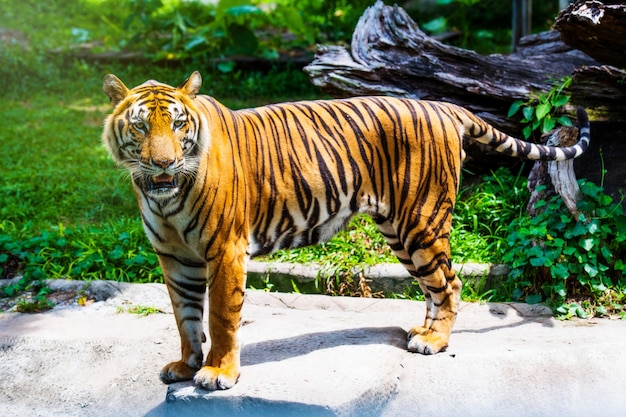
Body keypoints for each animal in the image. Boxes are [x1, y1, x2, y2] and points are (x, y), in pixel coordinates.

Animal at [100, 70, 588, 390]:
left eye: (178, 124)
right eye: (140, 126)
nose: (163, 163)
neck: (163, 197)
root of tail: (442, 105)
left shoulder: (225, 251)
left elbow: (220, 316)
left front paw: (218, 372)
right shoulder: (174, 257)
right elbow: (184, 318)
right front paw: (185, 366)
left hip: (421, 222)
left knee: (450, 284)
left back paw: (435, 341)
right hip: (398, 230)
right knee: (435, 285)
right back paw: (422, 331)